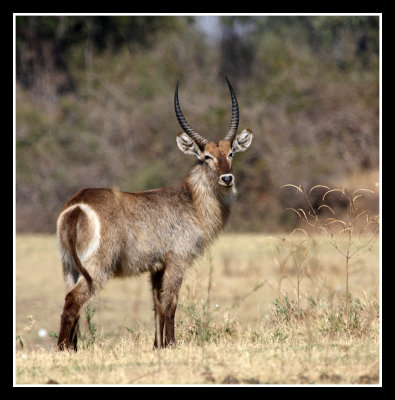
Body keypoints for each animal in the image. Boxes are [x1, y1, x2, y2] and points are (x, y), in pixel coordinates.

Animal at [55, 76, 254, 350]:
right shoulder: (177, 259)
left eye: (231, 153)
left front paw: (157, 346)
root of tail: (77, 204)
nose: (227, 178)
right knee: (73, 300)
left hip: (69, 266)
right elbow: (170, 303)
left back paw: (73, 349)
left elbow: (157, 304)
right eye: (207, 157)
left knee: (68, 297)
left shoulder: (156, 266)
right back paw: (63, 349)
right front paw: (171, 344)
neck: (192, 202)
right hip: (96, 265)